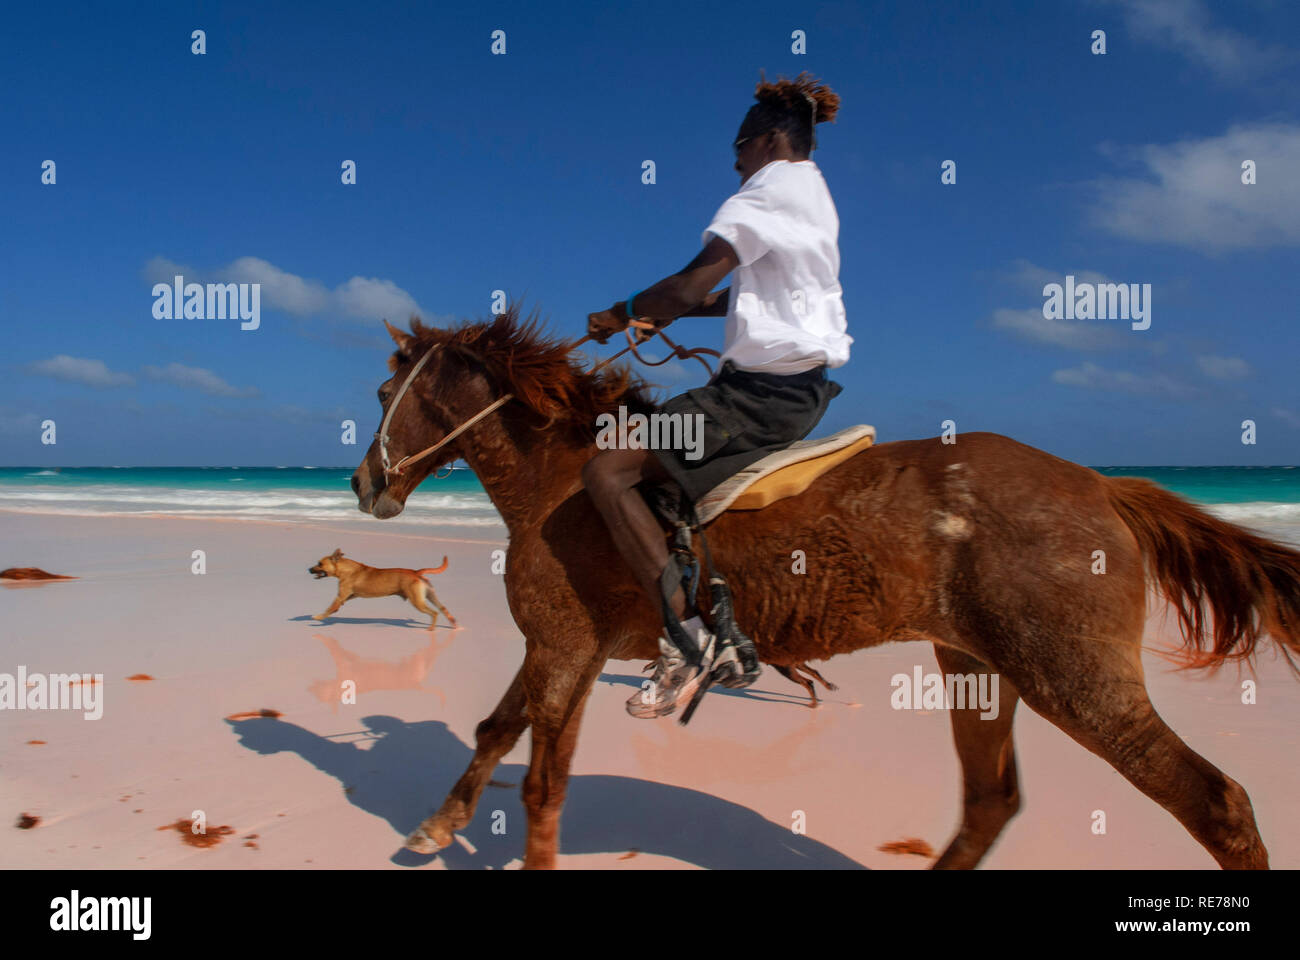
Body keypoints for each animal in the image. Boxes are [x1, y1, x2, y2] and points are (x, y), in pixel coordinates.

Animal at [351, 307, 1300, 870]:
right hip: (977, 667)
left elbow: (543, 785)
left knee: (1217, 803)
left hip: (1076, 681)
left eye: (384, 388)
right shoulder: (559, 648)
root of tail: (1104, 485)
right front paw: (438, 824)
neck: (559, 481)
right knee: (991, 801)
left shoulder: (562, 646)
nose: (365, 485)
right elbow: (494, 732)